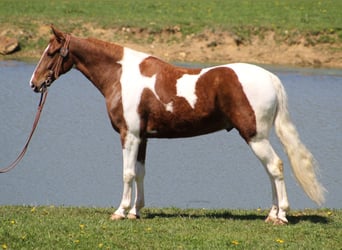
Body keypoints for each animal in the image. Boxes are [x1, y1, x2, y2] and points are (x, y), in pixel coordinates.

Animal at [30, 26, 326, 225]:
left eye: (52, 52)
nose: (34, 83)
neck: (122, 77)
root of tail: (271, 78)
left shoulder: (129, 135)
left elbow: (127, 174)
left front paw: (120, 212)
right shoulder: (143, 138)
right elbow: (140, 173)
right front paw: (136, 212)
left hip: (255, 136)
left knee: (275, 167)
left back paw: (282, 215)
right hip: (257, 137)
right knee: (270, 171)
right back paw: (272, 214)